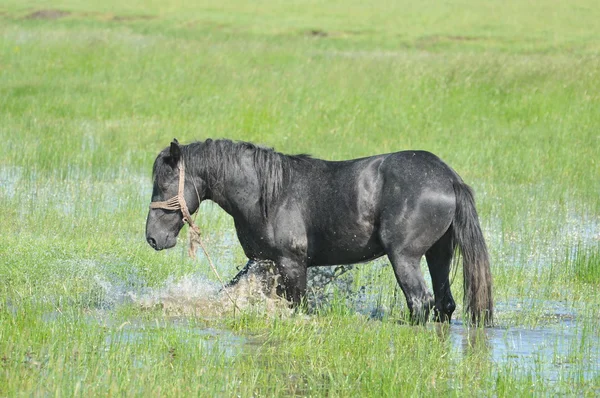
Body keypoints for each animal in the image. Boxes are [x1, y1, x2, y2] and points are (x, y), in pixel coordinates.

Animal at [145, 138, 492, 324]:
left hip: (405, 257)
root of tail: (447, 176)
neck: (267, 193)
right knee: (445, 304)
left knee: (420, 302)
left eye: (164, 183)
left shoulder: (292, 264)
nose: (153, 237)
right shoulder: (262, 262)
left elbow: (296, 306)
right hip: (438, 254)